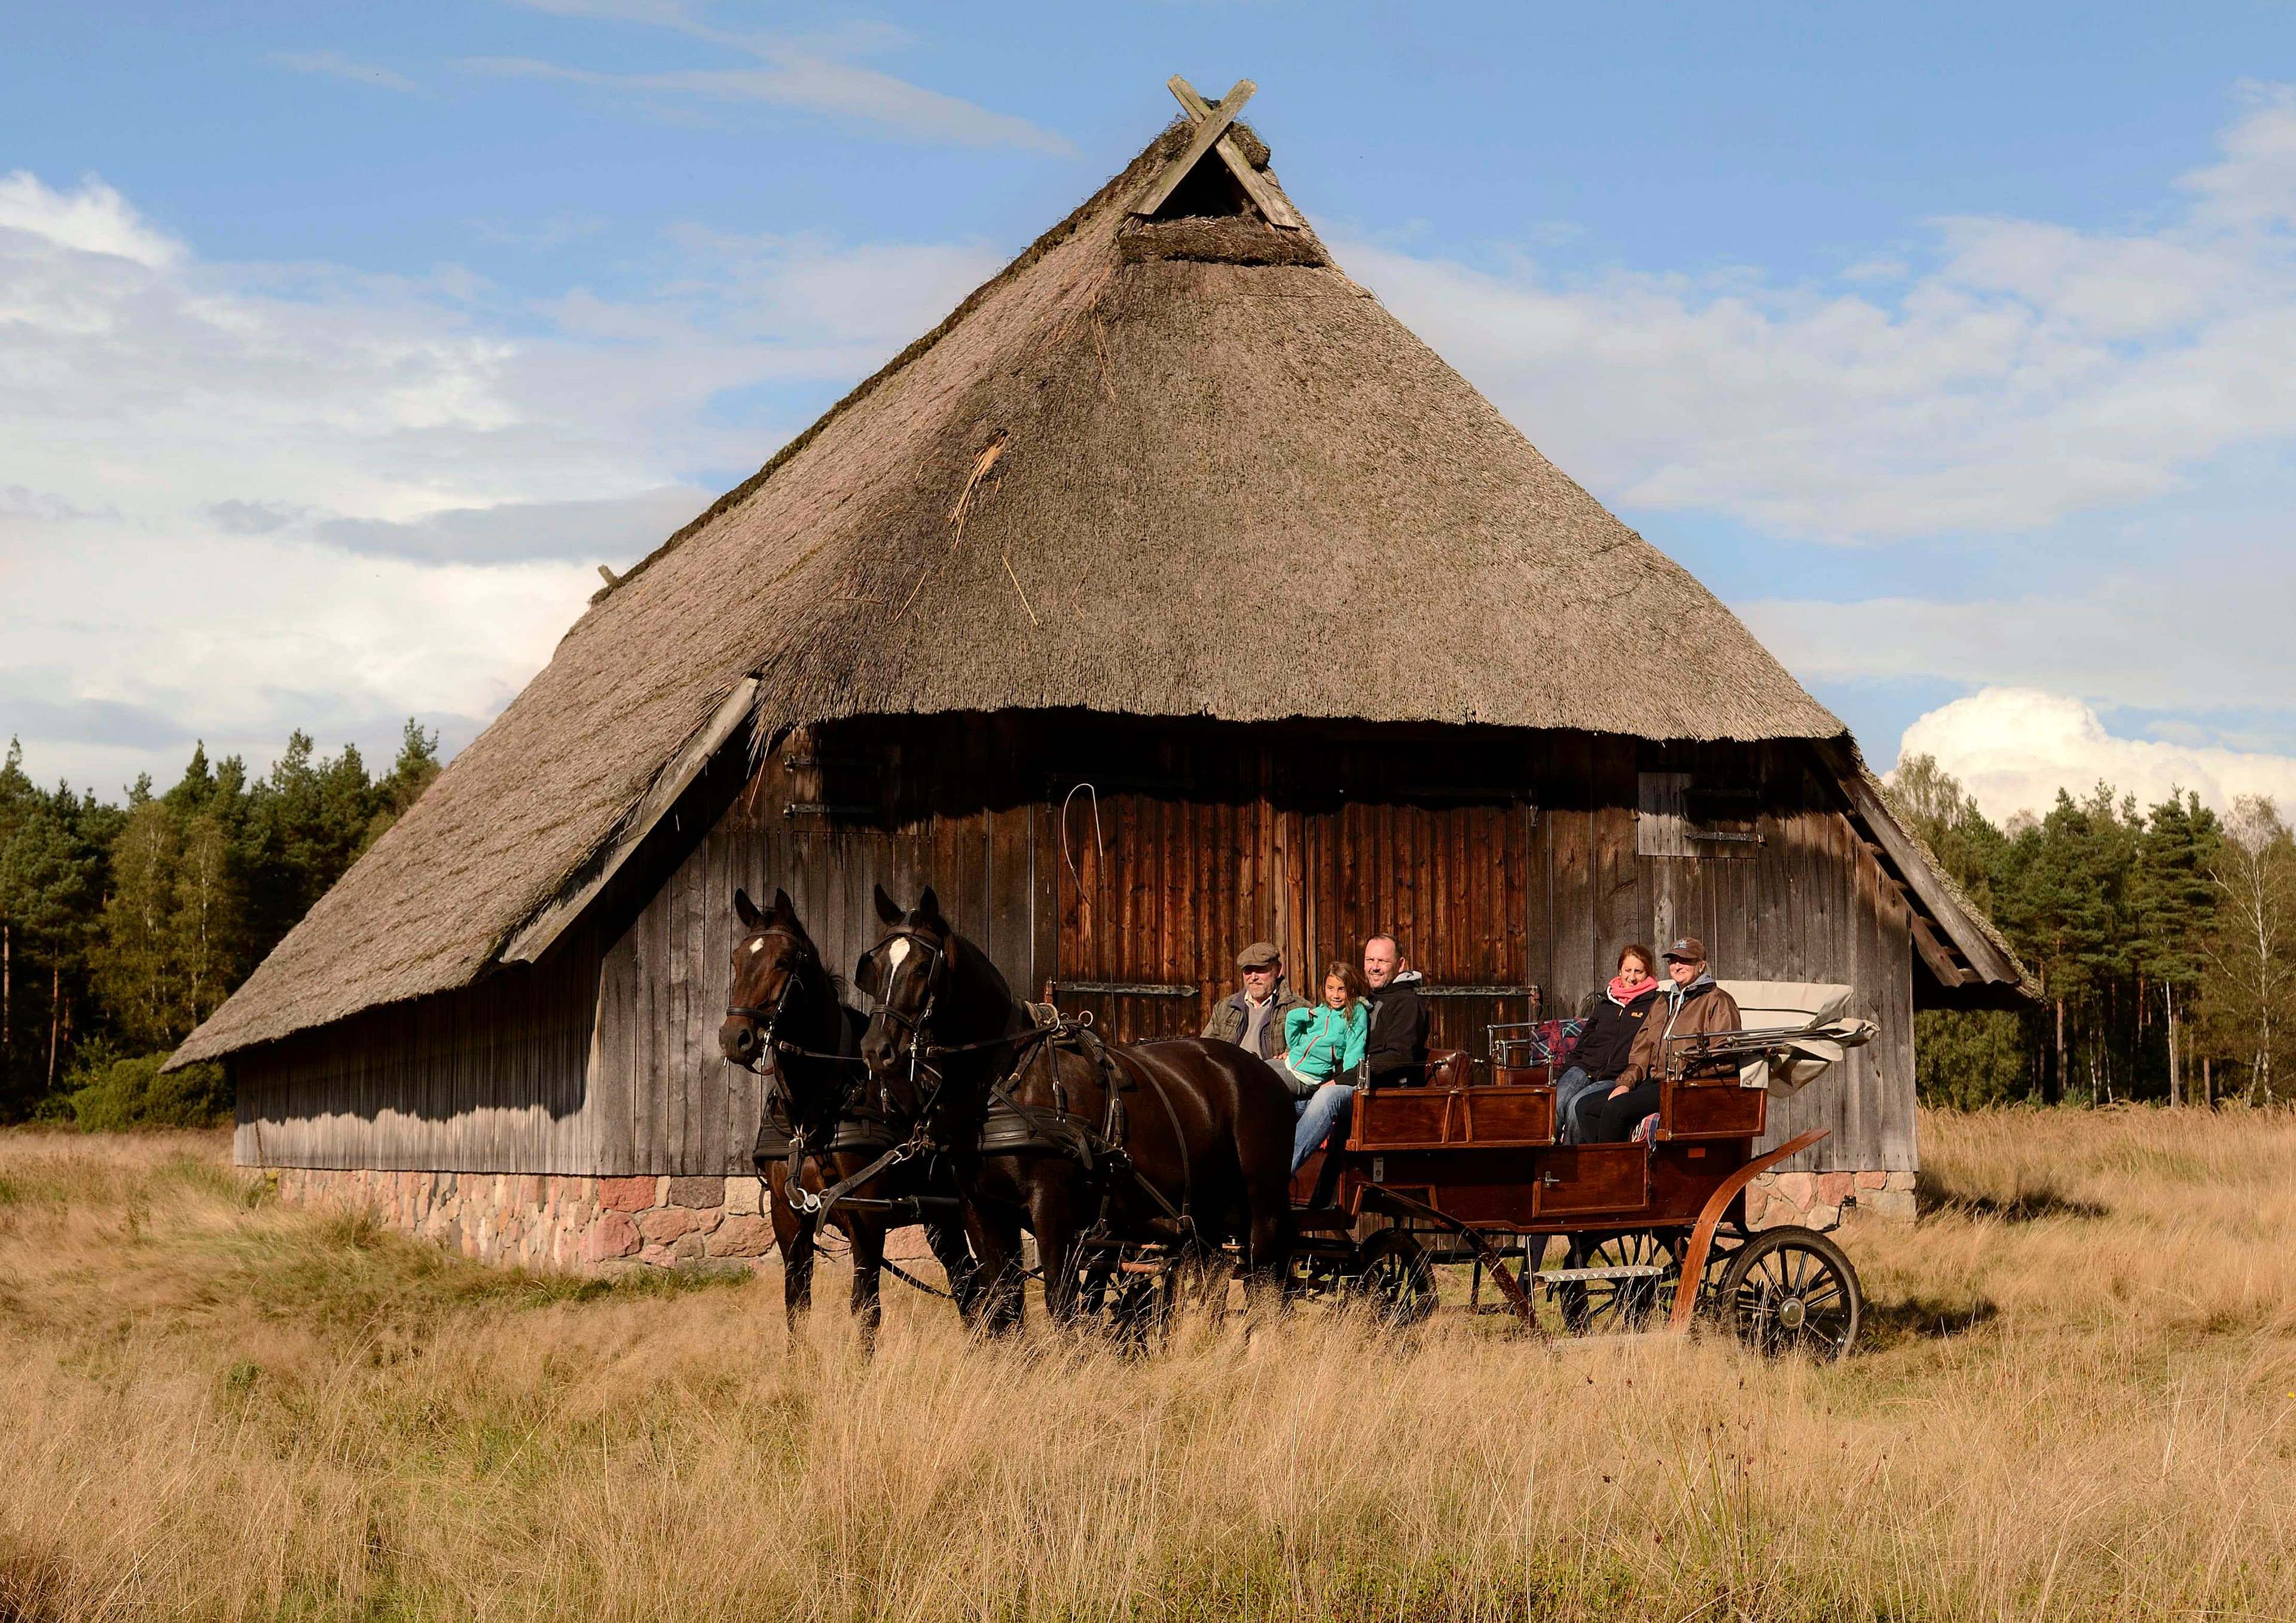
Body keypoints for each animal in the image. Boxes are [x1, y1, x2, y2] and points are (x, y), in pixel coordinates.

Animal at [712, 890, 973, 1350]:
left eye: (783, 961)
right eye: (737, 959)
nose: (734, 1038)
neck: (816, 1109)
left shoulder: (866, 1215)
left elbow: (866, 1307)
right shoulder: (789, 1218)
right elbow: (797, 1304)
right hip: (941, 1217)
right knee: (967, 1282)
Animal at [859, 890, 1294, 1331]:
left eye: (921, 968)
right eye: (875, 966)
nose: (876, 1049)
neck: (1005, 1073)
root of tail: (1262, 1071)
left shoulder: (1053, 1209)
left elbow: (1061, 1303)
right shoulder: (980, 1208)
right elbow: (1003, 1309)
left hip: (1262, 1204)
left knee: (1266, 1283)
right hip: (1202, 1211)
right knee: (1211, 1281)